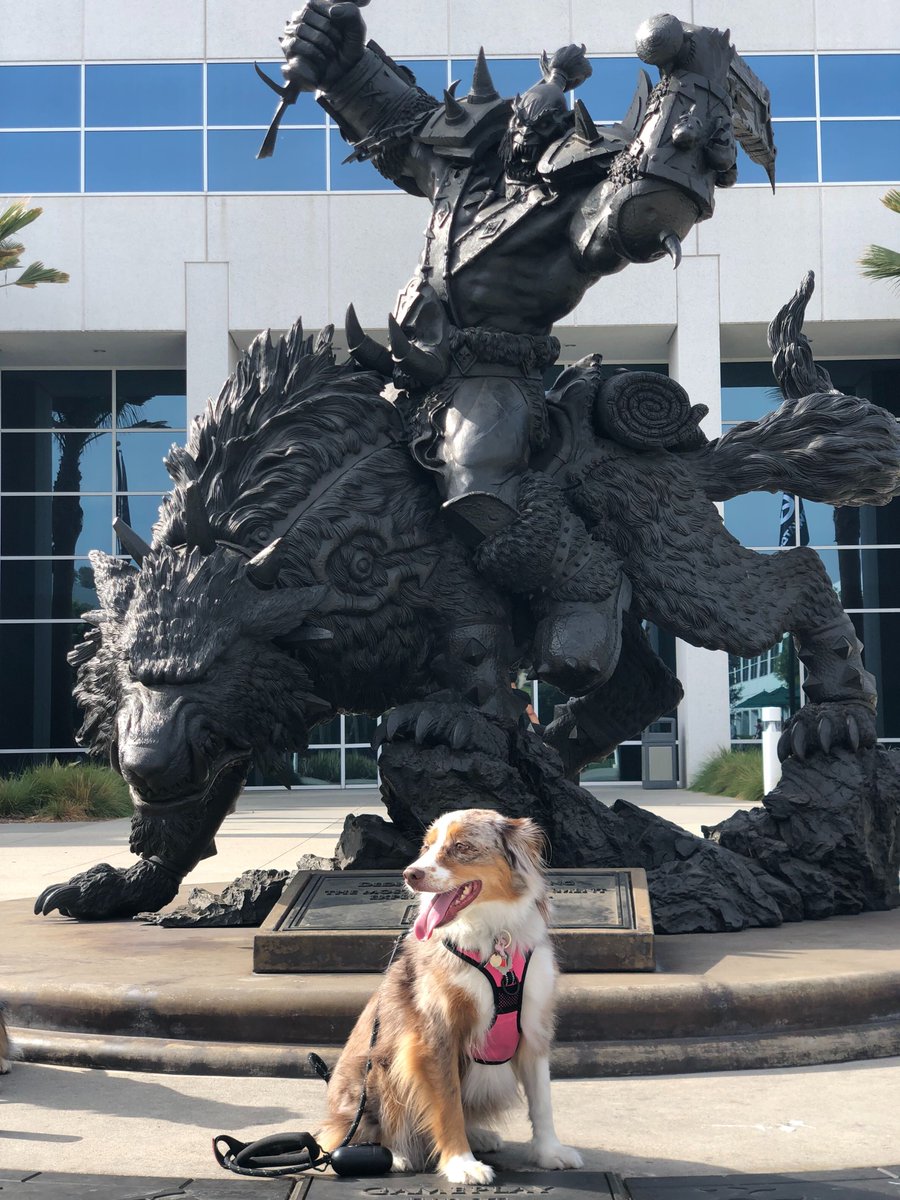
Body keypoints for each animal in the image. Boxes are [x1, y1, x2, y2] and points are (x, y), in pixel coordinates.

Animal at [316, 806, 585, 1180]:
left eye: (462, 847)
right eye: (426, 847)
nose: (410, 874)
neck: (491, 937)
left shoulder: (533, 1026)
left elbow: (542, 1101)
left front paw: (549, 1152)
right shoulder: (434, 1034)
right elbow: (447, 1104)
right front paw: (461, 1163)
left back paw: (479, 1136)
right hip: (377, 1069)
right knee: (349, 1134)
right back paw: (393, 1155)